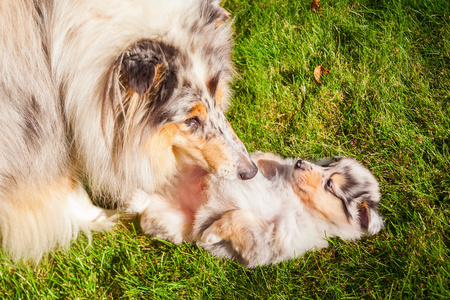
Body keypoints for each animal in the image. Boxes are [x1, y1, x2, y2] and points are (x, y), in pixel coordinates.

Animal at [0, 0, 256, 262]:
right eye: (191, 120)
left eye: (218, 99)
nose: (251, 171)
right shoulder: (28, 123)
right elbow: (64, 183)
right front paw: (110, 219)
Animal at [134, 154, 384, 268]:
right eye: (328, 164)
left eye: (330, 185)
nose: (300, 162)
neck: (299, 201)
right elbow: (271, 160)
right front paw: (257, 157)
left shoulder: (267, 242)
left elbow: (238, 217)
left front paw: (211, 233)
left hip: (172, 222)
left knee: (148, 213)